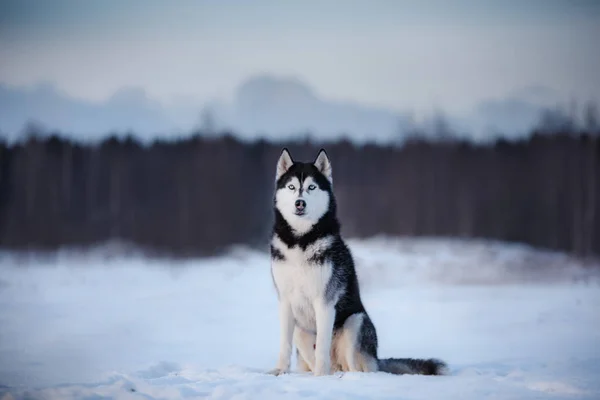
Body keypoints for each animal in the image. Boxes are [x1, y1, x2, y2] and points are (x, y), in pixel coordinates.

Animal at [268, 148, 446, 376]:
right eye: (291, 187)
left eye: (311, 187)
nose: (300, 203)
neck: (301, 240)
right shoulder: (285, 301)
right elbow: (284, 344)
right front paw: (279, 370)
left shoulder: (324, 302)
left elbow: (322, 345)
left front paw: (320, 376)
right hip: (301, 330)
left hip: (355, 322)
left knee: (356, 367)